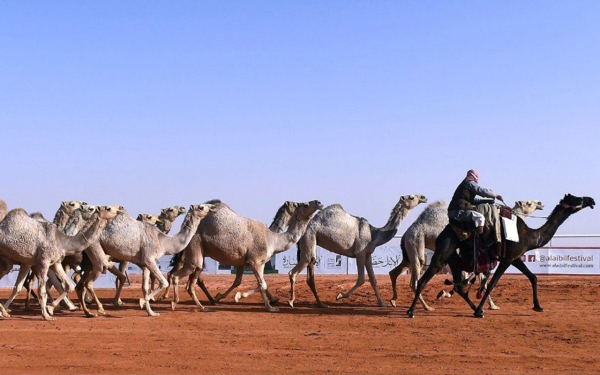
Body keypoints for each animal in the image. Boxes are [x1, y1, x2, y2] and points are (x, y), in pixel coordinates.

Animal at [77, 206, 217, 318]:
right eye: (201, 207)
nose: (212, 208)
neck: (163, 241)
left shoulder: (145, 263)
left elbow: (145, 287)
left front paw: (151, 312)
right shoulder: (149, 259)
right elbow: (164, 282)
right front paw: (142, 302)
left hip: (89, 257)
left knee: (81, 283)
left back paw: (88, 312)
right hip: (95, 246)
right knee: (91, 280)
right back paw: (100, 309)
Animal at [171, 201, 322, 312]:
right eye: (305, 204)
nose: (319, 202)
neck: (272, 239)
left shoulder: (250, 262)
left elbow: (251, 283)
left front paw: (270, 305)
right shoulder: (255, 261)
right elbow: (262, 284)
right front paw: (241, 298)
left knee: (190, 278)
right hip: (195, 246)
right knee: (184, 274)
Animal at [290, 194, 426, 308]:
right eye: (411, 197)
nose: (424, 197)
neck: (374, 234)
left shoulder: (368, 255)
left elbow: (373, 279)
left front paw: (382, 303)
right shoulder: (360, 253)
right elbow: (361, 279)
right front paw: (340, 295)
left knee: (310, 274)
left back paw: (321, 304)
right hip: (309, 236)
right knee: (295, 270)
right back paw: (291, 301)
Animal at [390, 200, 544, 312]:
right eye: (528, 203)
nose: (540, 203)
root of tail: (406, 234)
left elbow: (472, 279)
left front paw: (445, 293)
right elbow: (480, 280)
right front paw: (491, 305)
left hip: (408, 254)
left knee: (395, 272)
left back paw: (393, 301)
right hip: (417, 247)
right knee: (415, 280)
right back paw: (426, 307)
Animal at [406, 194, 592, 320]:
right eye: (576, 199)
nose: (591, 200)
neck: (529, 236)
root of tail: (442, 234)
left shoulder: (515, 257)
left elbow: (533, 277)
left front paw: (538, 306)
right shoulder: (507, 259)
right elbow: (491, 284)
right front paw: (482, 309)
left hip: (454, 258)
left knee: (459, 286)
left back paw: (473, 308)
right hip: (442, 252)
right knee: (423, 280)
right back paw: (412, 311)